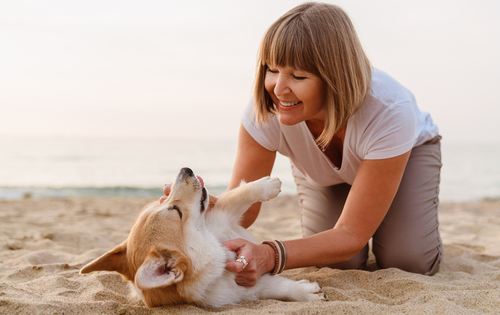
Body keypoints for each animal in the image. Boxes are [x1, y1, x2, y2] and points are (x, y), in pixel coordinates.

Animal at [80, 168, 324, 308]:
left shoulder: (223, 213)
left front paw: (267, 184)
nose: (185, 170)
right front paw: (307, 293)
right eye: (176, 211)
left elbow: (244, 192)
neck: (212, 242)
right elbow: (279, 288)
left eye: (165, 204)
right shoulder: (249, 284)